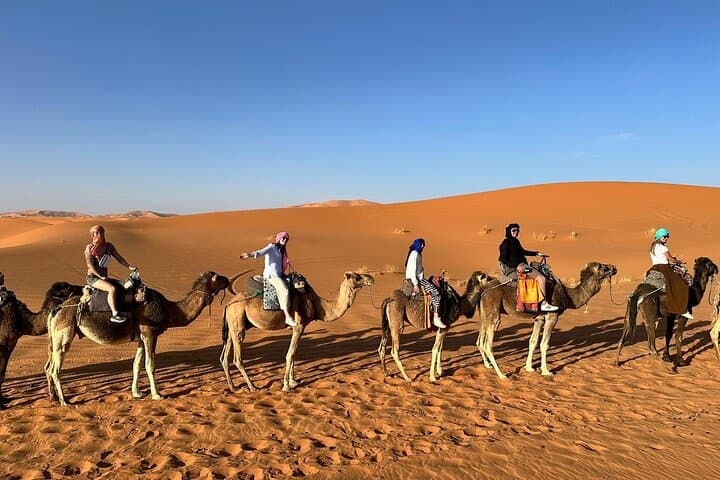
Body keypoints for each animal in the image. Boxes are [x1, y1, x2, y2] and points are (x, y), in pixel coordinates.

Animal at [45, 271, 229, 405]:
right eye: (217, 277)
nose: (227, 279)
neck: (170, 309)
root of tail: (56, 310)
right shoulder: (150, 333)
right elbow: (150, 365)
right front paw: (157, 394)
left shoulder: (141, 338)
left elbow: (136, 365)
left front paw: (137, 392)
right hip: (64, 334)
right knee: (55, 369)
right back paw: (64, 401)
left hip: (55, 338)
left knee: (49, 366)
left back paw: (53, 398)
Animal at [220, 271, 374, 392]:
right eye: (357, 277)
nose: (371, 278)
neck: (318, 305)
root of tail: (228, 305)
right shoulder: (300, 325)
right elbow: (290, 354)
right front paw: (286, 386)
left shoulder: (294, 328)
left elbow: (293, 354)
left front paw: (293, 381)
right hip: (238, 323)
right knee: (237, 359)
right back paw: (252, 387)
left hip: (233, 326)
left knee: (224, 356)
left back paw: (233, 386)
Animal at [477, 262, 617, 379]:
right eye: (601, 266)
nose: (614, 268)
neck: (568, 296)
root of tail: (483, 290)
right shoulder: (552, 316)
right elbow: (544, 344)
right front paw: (546, 371)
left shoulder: (539, 319)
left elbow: (532, 342)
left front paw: (529, 368)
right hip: (494, 311)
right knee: (488, 344)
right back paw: (502, 375)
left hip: (484, 314)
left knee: (481, 340)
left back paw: (488, 365)